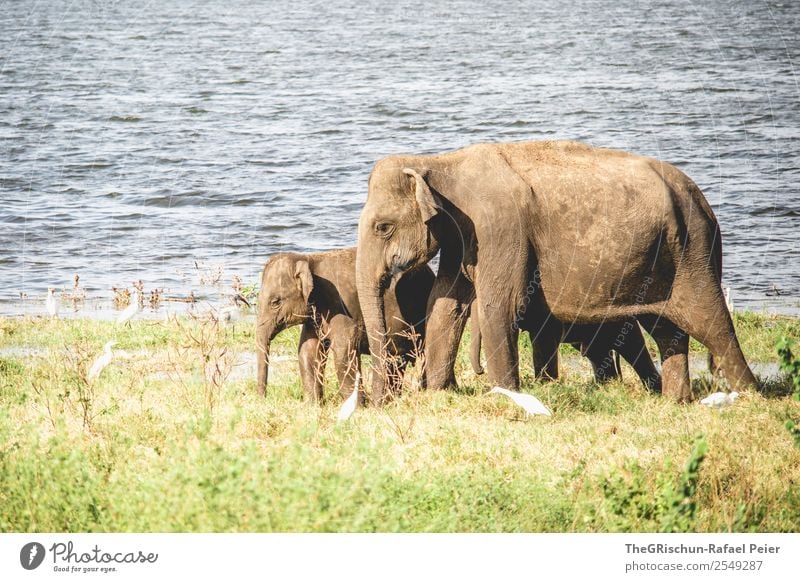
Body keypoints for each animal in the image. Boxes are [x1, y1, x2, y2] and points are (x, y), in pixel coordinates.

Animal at [255, 248, 432, 406]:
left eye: (275, 302)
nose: (263, 400)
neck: (309, 260)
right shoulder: (315, 315)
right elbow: (308, 351)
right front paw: (312, 406)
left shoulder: (342, 305)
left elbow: (343, 351)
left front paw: (357, 407)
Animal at [356, 141, 756, 406]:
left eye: (383, 227)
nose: (380, 403)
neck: (438, 163)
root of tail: (702, 199)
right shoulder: (462, 235)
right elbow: (445, 303)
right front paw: (441, 394)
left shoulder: (501, 228)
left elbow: (501, 304)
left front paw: (507, 396)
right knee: (666, 328)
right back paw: (675, 402)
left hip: (693, 253)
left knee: (711, 322)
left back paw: (749, 397)